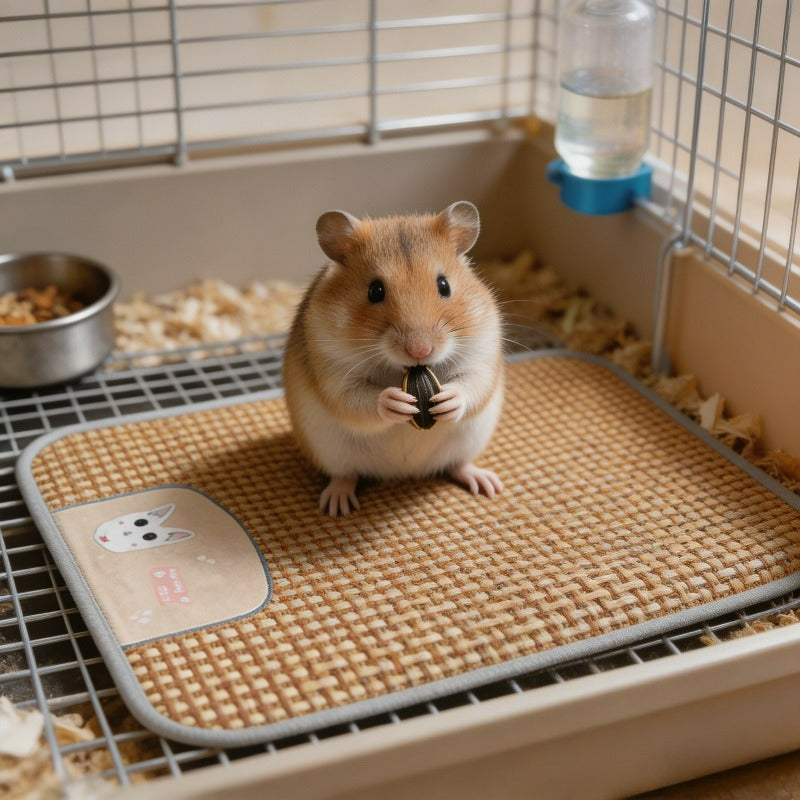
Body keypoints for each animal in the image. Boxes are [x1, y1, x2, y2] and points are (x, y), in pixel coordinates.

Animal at [282, 201, 504, 516]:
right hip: (330, 449)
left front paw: (446, 400)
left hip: (470, 440)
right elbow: (361, 399)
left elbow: (470, 384)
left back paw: (488, 485)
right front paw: (397, 401)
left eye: (444, 285)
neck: (407, 370)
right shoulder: (335, 373)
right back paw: (337, 506)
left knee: (458, 465)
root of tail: (404, 472)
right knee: (345, 475)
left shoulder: (480, 352)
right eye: (375, 290)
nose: (420, 351)